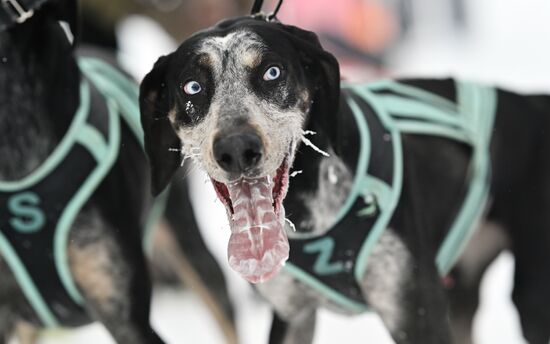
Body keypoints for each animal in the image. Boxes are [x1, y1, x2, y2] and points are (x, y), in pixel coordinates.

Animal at [140, 11, 550, 344]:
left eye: (272, 71)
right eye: (192, 86)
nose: (237, 148)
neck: (313, 207)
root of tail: (534, 101)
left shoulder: (417, 315)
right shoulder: (292, 317)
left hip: (531, 302)